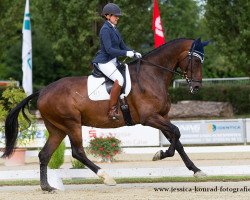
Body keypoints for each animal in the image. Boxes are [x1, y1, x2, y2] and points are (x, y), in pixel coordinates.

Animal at [1, 37, 209, 191]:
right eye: (195, 60)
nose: (197, 87)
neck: (152, 75)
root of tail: (43, 91)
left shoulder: (162, 116)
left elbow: (177, 139)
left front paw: (196, 170)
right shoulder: (150, 118)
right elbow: (177, 133)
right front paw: (160, 154)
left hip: (57, 128)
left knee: (44, 154)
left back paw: (47, 187)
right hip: (72, 123)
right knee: (78, 152)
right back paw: (106, 177)